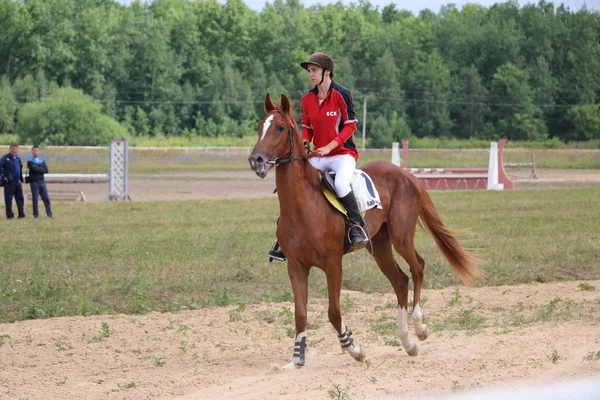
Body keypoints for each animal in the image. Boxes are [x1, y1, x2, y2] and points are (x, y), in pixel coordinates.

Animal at [248, 94, 482, 368]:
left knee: (418, 268)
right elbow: (300, 313)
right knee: (400, 281)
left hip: (401, 237)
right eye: (260, 126)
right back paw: (408, 342)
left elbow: (333, 311)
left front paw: (353, 348)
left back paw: (420, 328)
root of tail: (405, 174)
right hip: (379, 246)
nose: (256, 160)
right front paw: (296, 359)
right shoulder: (296, 266)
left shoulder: (333, 263)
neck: (303, 205)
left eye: (280, 127)